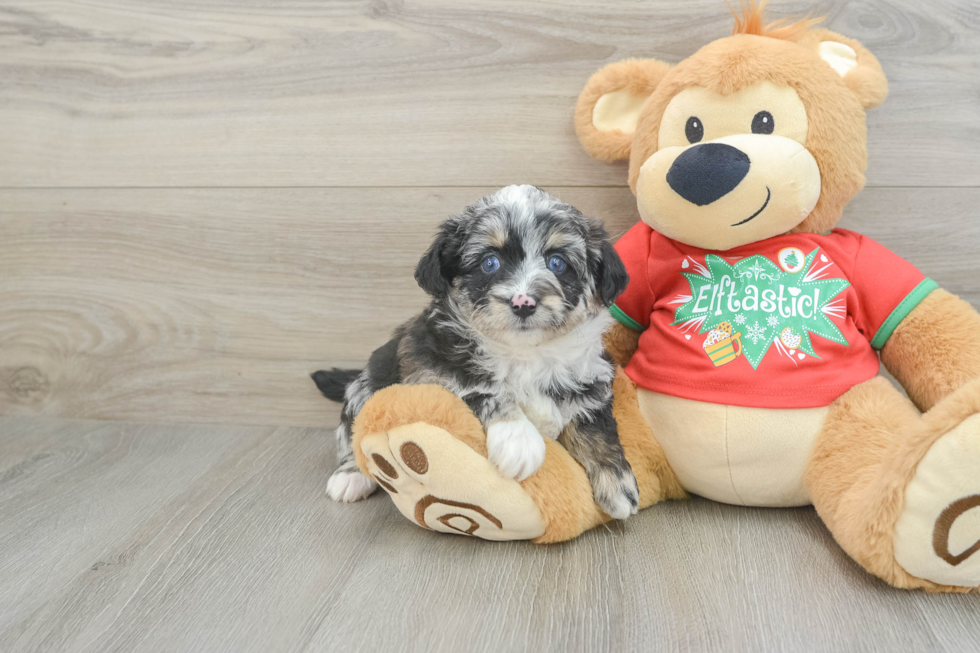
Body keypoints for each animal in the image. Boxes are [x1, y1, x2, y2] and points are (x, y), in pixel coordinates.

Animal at [310, 185, 640, 520]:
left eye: (557, 263)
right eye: (489, 263)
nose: (524, 302)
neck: (524, 353)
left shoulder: (591, 379)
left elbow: (596, 428)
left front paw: (619, 484)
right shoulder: (432, 370)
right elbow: (481, 388)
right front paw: (518, 439)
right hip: (365, 387)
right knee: (354, 433)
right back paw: (351, 476)